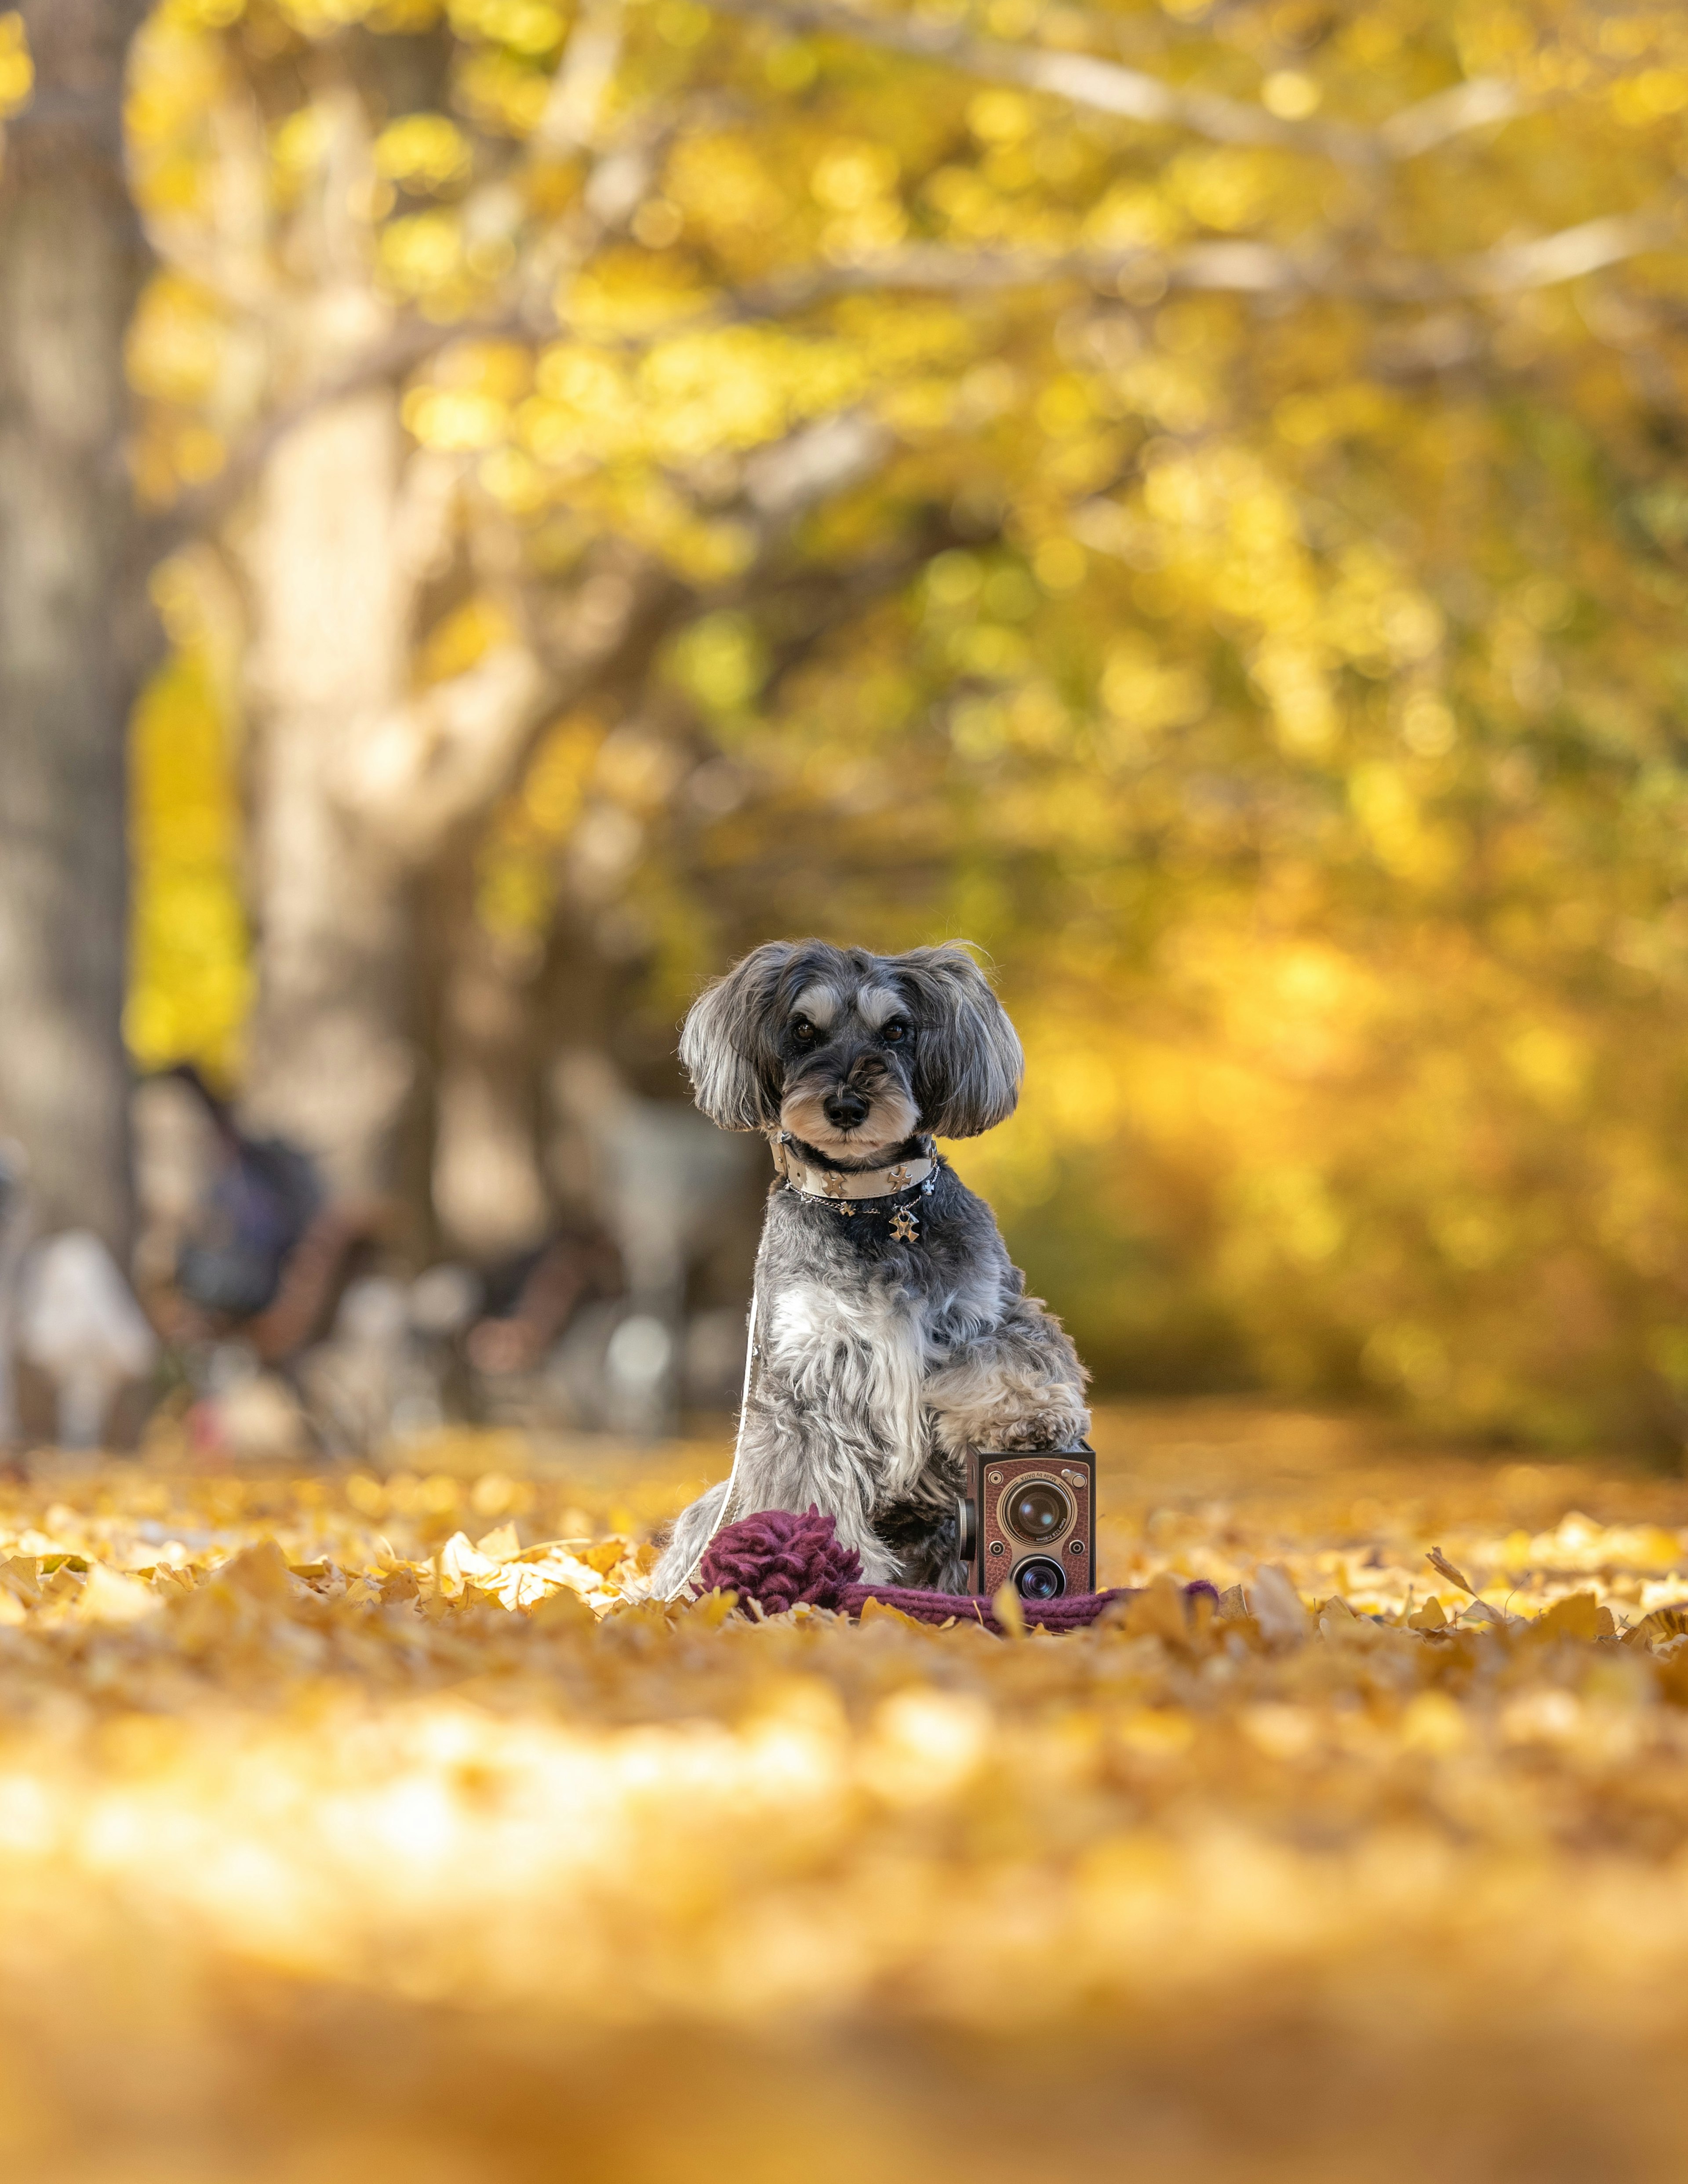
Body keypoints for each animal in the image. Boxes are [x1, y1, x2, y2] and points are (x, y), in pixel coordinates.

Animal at [651, 934, 1087, 1590]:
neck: (871, 1201)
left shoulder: (989, 1310)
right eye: (803, 1029)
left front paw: (1027, 1416)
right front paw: (825, 1568)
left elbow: (1006, 1357)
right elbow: (810, 1482)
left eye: (898, 1029)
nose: (846, 1105)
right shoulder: (806, 1377)